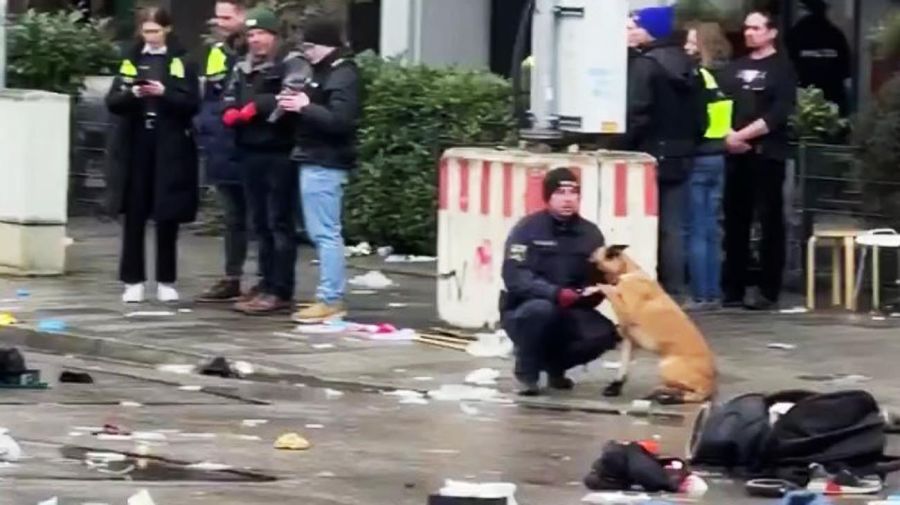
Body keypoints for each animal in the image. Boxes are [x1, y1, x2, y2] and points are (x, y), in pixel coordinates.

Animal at [592, 242, 716, 404]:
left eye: (591, 260)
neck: (628, 272)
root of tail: (711, 385)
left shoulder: (625, 307)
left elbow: (610, 290)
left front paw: (599, 287)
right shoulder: (628, 340)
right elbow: (623, 367)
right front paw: (616, 385)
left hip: (666, 367)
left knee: (694, 395)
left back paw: (665, 395)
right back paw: (662, 393)